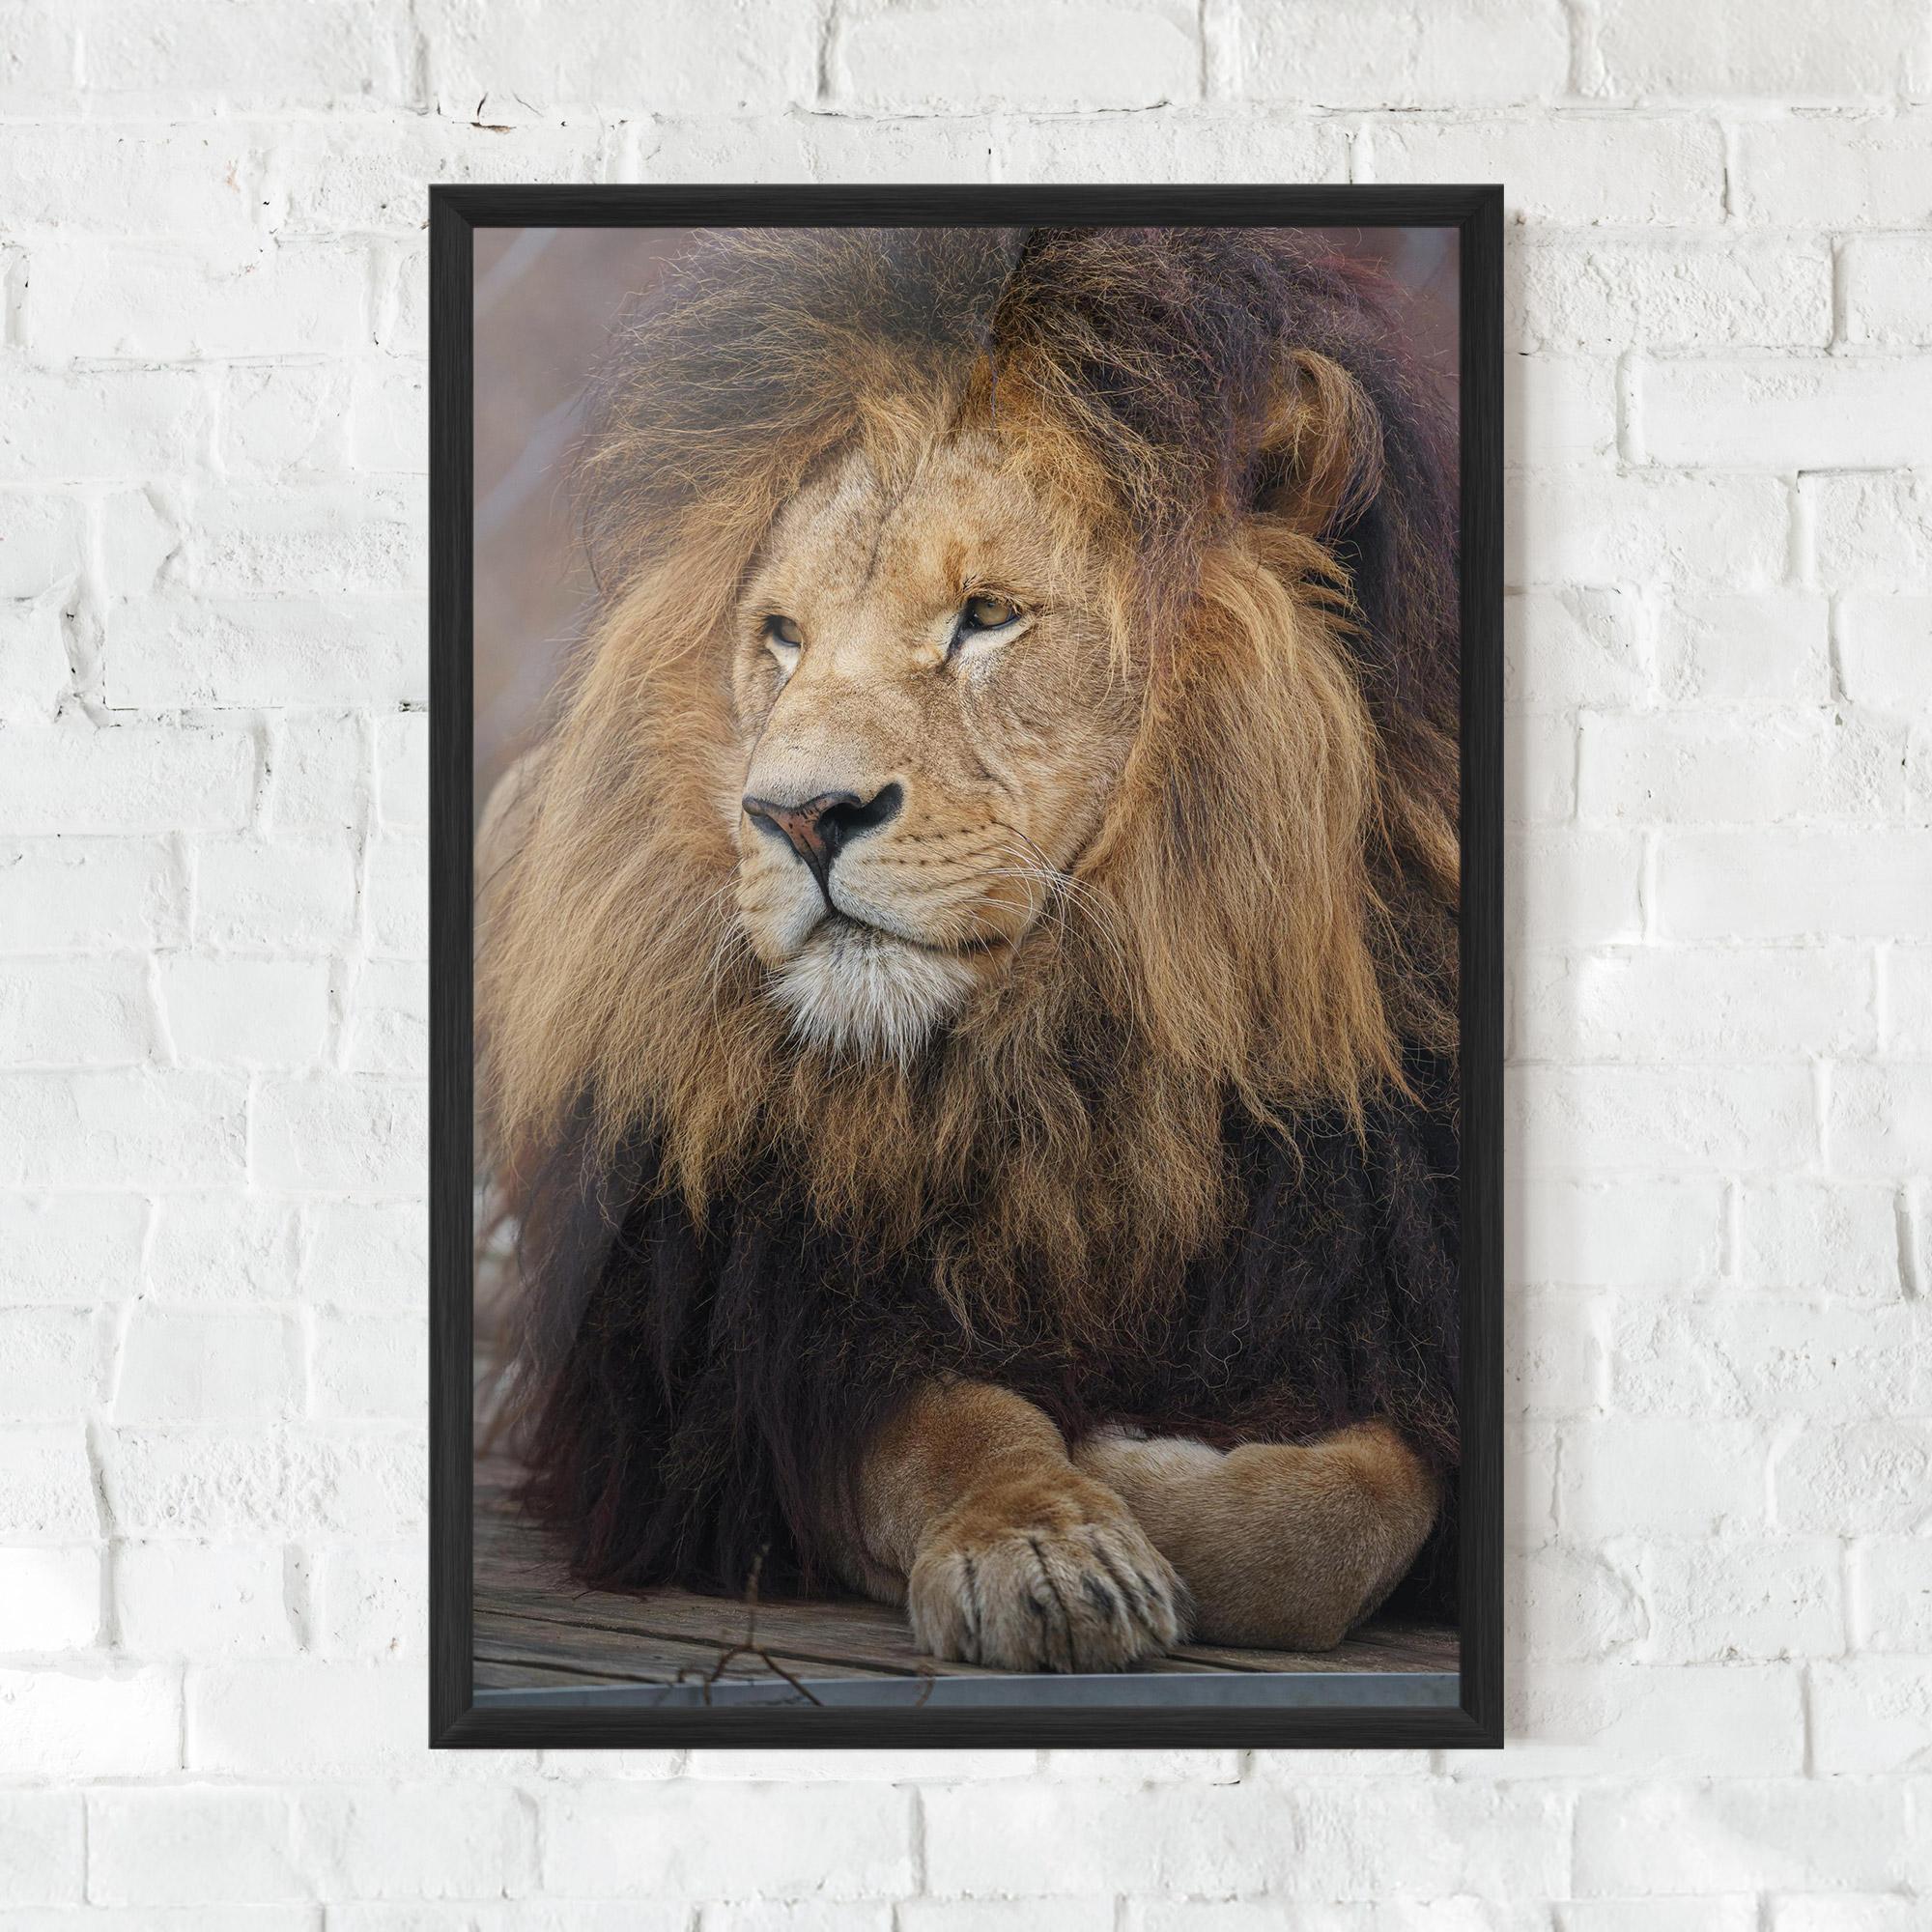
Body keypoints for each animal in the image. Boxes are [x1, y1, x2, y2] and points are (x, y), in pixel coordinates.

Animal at [479, 227, 1462, 1672]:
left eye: (988, 616)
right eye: (780, 637)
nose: (795, 815)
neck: (1078, 1060)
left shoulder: (1377, 1295)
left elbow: (1347, 1522)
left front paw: (1148, 1463)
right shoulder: (748, 1358)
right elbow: (950, 1431)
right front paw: (1052, 1542)